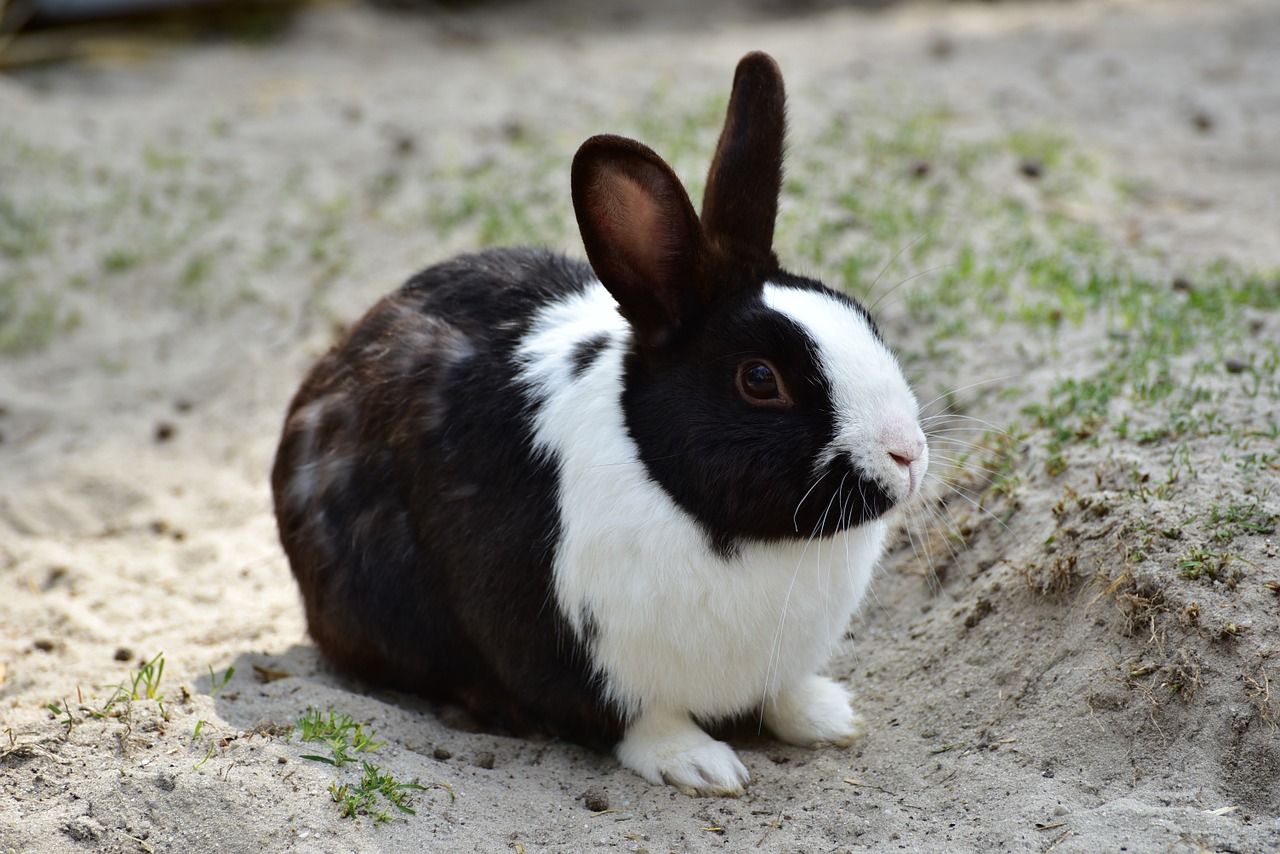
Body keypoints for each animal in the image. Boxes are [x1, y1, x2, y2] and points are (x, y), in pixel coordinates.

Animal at [272, 51, 931, 804]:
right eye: (760, 379)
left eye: (862, 317)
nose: (908, 454)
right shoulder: (570, 646)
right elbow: (639, 718)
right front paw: (700, 766)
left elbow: (783, 693)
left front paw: (828, 717)